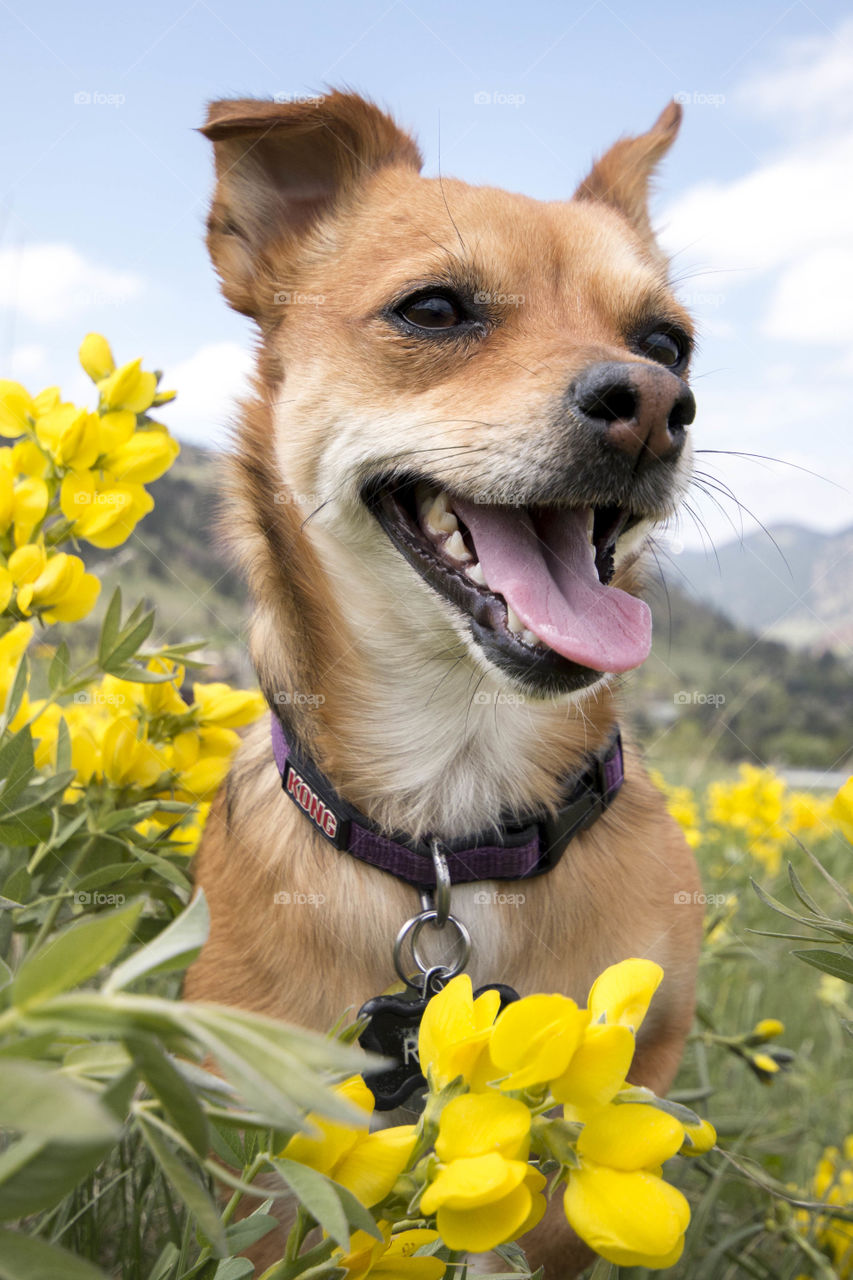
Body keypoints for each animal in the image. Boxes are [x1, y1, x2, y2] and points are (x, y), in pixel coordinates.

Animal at [184, 92, 696, 1280]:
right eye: (432, 309)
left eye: (666, 342)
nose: (658, 402)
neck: (455, 822)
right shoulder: (255, 1144)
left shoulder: (649, 1046)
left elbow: (553, 1218)